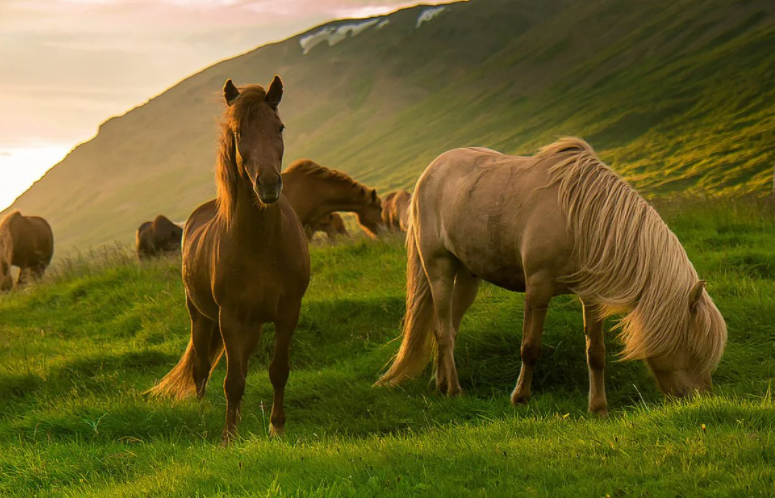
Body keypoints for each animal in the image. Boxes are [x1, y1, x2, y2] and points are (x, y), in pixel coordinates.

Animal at [149, 75, 310, 444]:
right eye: (239, 132)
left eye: (279, 127)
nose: (268, 184)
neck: (262, 246)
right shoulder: (231, 318)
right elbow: (232, 381)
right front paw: (228, 437)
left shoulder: (288, 311)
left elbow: (278, 371)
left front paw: (276, 427)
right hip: (201, 317)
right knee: (201, 369)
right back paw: (203, 413)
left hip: (250, 326)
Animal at [378, 138, 732, 414]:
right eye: (693, 346)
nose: (701, 398)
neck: (583, 219)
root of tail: (430, 171)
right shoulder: (537, 288)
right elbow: (530, 347)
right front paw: (520, 397)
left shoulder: (592, 298)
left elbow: (596, 353)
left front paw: (598, 407)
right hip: (439, 268)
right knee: (442, 330)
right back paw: (454, 389)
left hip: (469, 276)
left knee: (449, 325)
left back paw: (441, 383)